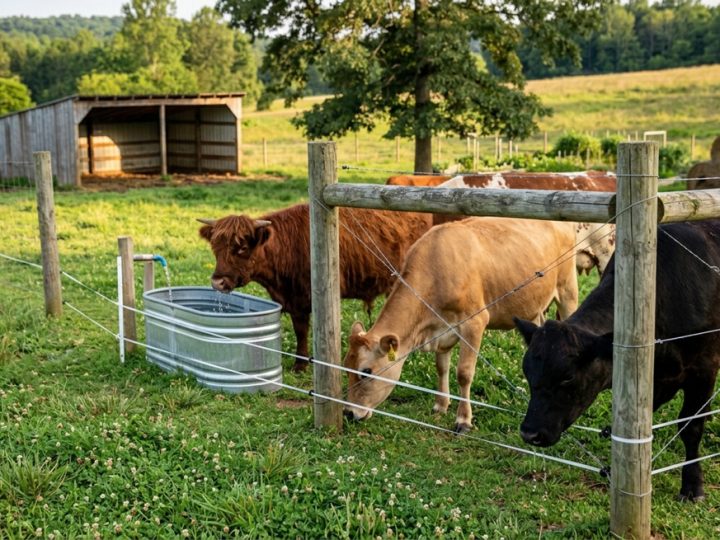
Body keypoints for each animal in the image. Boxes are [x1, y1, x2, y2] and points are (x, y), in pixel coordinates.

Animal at [198, 204, 432, 372]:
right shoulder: (293, 299)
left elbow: (307, 330)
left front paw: (305, 363)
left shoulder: (307, 297)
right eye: (215, 247)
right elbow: (299, 330)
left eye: (242, 248)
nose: (217, 282)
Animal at [344, 217, 579, 433]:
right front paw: (440, 405)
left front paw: (463, 420)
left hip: (567, 290)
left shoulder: (474, 322)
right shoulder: (441, 330)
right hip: (533, 307)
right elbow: (441, 367)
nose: (348, 413)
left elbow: (464, 373)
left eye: (366, 372)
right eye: (345, 365)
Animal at [515, 220, 720, 501]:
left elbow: (691, 427)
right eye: (527, 373)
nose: (529, 432)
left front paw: (692, 485)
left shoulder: (704, 368)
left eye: (568, 377)